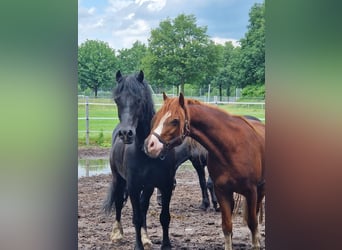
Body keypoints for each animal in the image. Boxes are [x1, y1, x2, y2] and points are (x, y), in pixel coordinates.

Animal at [103, 71, 178, 250]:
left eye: (139, 99)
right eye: (117, 100)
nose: (126, 134)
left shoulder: (165, 185)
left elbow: (164, 217)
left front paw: (166, 245)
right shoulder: (133, 186)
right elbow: (136, 218)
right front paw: (138, 245)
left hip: (149, 187)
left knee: (143, 207)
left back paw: (146, 238)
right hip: (118, 179)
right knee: (118, 203)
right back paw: (117, 234)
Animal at [144, 93, 264, 250]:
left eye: (175, 120)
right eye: (156, 118)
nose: (149, 145)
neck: (232, 145)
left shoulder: (250, 190)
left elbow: (252, 223)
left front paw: (211, 204)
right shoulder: (215, 182)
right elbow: (226, 225)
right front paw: (207, 204)